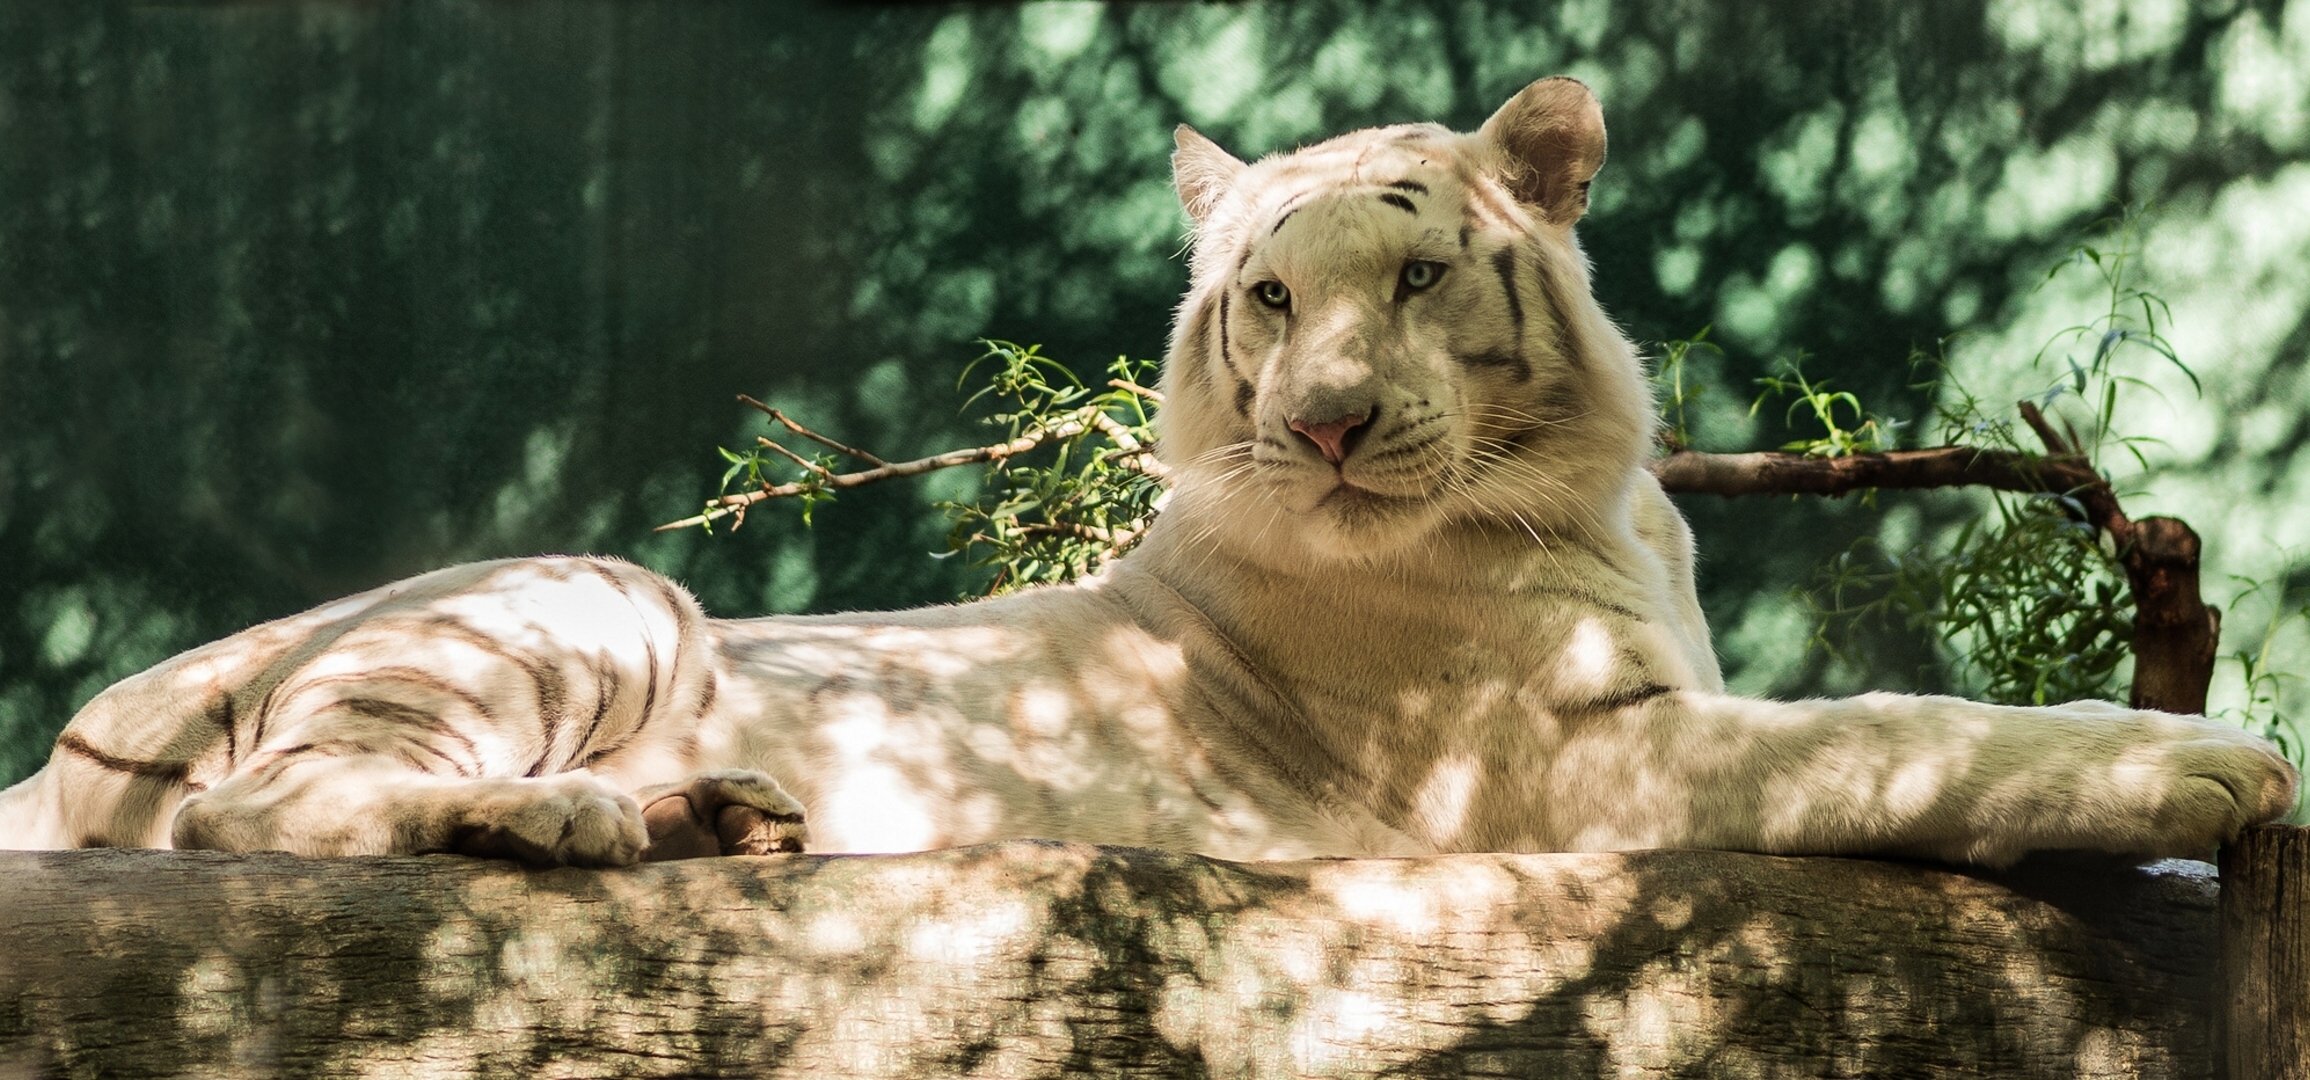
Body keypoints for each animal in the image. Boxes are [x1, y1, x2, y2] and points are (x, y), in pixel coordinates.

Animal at [0, 76, 2294, 868]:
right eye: (1267, 300)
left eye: (1416, 272)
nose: (1332, 422)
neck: (1589, 490)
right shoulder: (1582, 764)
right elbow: (1902, 730)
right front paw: (2208, 761)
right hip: (591, 592)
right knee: (243, 817)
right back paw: (561, 825)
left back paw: (704, 814)